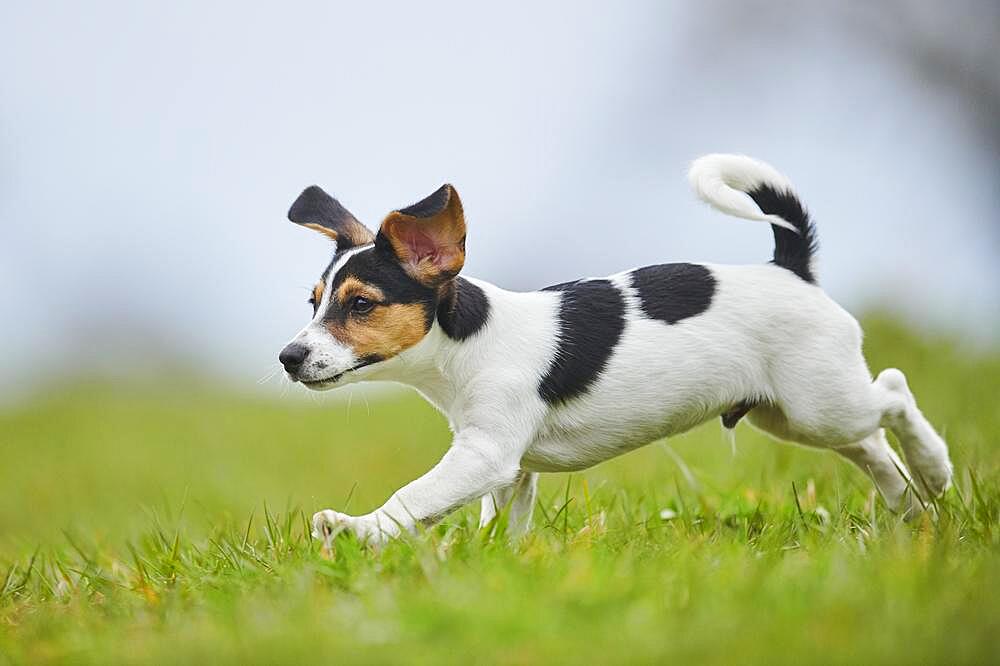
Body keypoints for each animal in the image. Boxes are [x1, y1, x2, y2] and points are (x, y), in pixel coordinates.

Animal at [282, 156, 952, 544]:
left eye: (360, 304)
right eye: (313, 301)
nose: (288, 358)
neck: (470, 341)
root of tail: (791, 270)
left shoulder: (484, 454)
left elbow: (412, 499)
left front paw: (354, 530)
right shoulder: (511, 470)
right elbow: (501, 523)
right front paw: (500, 561)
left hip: (819, 403)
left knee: (893, 391)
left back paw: (934, 468)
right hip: (790, 414)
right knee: (870, 445)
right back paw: (908, 506)